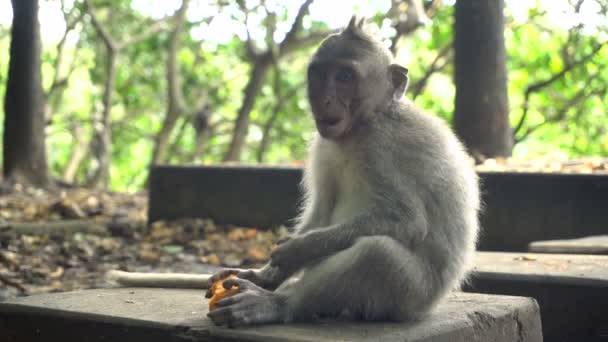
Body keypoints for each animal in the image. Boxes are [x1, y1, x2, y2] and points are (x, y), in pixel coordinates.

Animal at [109, 16, 480, 328]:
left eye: (344, 77)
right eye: (319, 74)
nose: (326, 100)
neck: (363, 124)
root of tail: (428, 307)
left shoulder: (382, 145)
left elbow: (406, 221)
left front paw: (296, 251)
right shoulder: (323, 145)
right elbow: (323, 209)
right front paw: (270, 273)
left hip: (409, 299)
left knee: (378, 254)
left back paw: (279, 305)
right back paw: (265, 286)